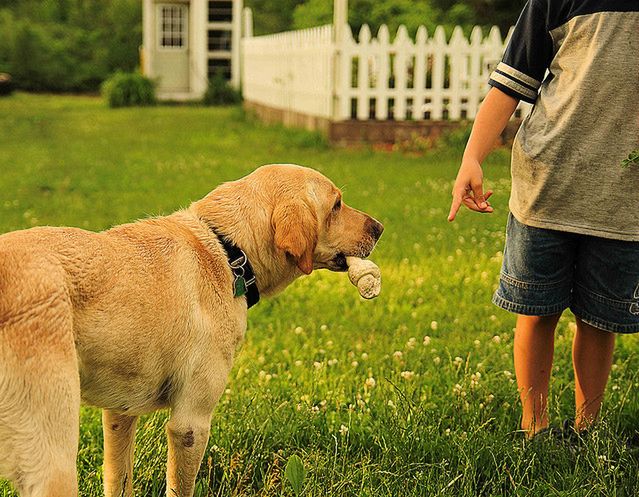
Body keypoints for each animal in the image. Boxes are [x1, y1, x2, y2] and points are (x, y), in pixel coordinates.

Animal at [0, 166, 382, 496]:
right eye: (336, 205)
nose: (380, 227)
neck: (227, 249)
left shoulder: (119, 413)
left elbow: (119, 480)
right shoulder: (190, 425)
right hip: (54, 452)